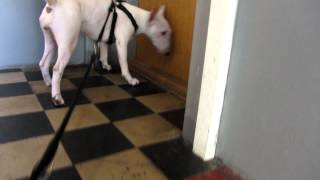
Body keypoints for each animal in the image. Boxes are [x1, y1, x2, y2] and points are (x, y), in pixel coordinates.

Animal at [38, 0, 172, 105]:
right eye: (163, 32)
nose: (168, 53)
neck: (136, 17)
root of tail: (54, 4)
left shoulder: (102, 41)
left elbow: (104, 55)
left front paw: (106, 66)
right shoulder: (122, 43)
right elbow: (124, 63)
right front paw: (130, 79)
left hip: (51, 41)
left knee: (43, 63)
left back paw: (49, 82)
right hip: (68, 44)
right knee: (57, 69)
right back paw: (57, 97)